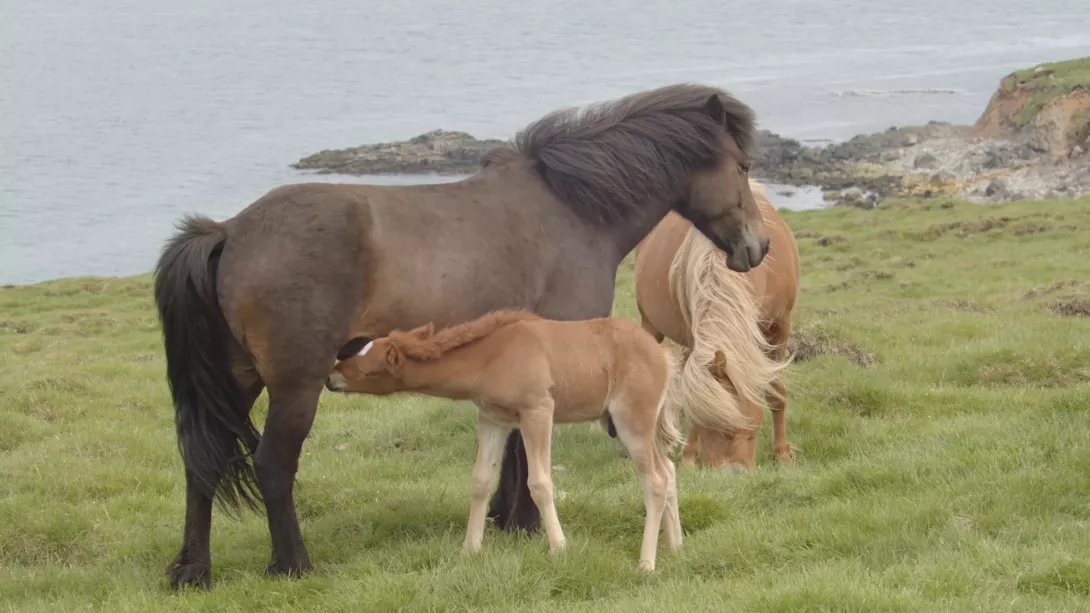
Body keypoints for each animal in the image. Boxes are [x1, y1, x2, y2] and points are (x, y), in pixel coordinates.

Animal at [324, 309, 684, 572]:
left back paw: (646, 563)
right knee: (668, 470)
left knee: (654, 479)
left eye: (369, 371)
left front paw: (559, 548)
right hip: (625, 424)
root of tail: (663, 355)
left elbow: (539, 482)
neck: (491, 357)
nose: (330, 378)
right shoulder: (492, 420)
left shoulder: (537, 411)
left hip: (631, 419)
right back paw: (675, 546)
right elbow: (480, 481)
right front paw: (469, 549)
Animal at [633, 181, 800, 470]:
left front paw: (782, 453)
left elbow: (775, 392)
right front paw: (689, 456)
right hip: (651, 325)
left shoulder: (779, 326)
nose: (728, 474)